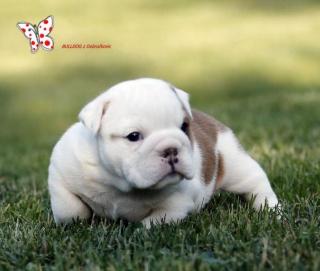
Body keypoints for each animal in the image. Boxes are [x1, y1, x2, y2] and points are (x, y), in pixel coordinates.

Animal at [47, 78, 278, 227]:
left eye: (184, 127)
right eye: (133, 136)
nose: (171, 149)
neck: (121, 183)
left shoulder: (178, 201)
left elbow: (157, 220)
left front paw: (143, 229)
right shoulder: (60, 171)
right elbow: (69, 209)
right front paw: (79, 219)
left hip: (236, 164)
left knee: (257, 185)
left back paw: (273, 211)